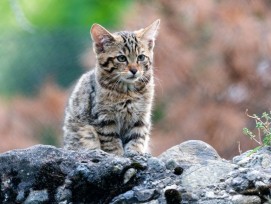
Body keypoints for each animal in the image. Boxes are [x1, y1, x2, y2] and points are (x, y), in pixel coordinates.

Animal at [62, 19, 160, 156]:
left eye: (141, 57)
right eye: (121, 58)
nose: (134, 70)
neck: (128, 92)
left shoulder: (141, 116)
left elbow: (137, 137)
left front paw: (136, 152)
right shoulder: (103, 116)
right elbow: (110, 140)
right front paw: (117, 154)